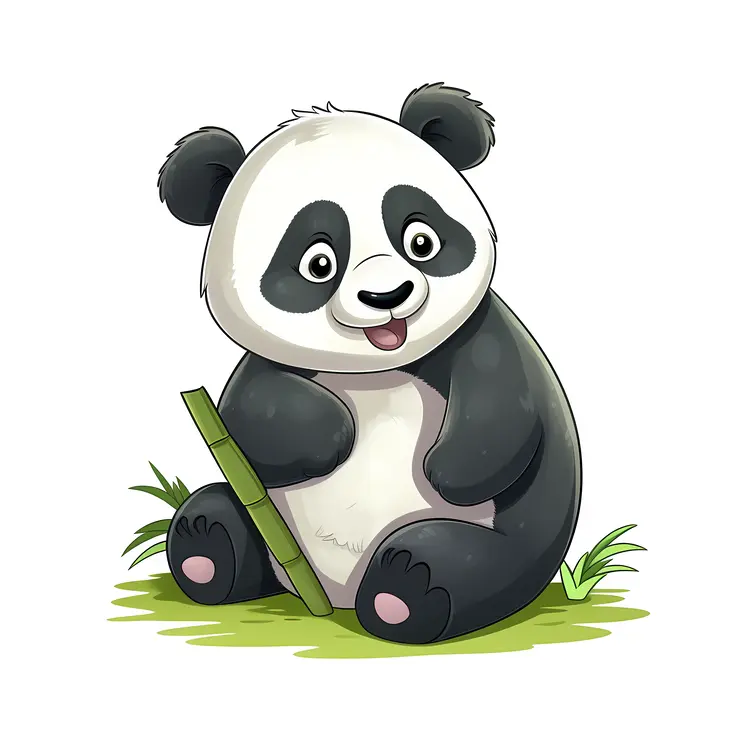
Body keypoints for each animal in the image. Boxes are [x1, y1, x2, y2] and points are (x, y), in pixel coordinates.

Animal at [157, 83, 581, 645]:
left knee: (467, 563)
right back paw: (206, 548)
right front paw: (332, 433)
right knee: (223, 509)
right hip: (269, 525)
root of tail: (334, 598)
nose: (387, 296)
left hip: (511, 546)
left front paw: (446, 468)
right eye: (318, 263)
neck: (374, 368)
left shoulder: (484, 334)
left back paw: (404, 588)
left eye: (421, 240)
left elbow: (502, 404)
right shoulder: (263, 369)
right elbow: (250, 411)